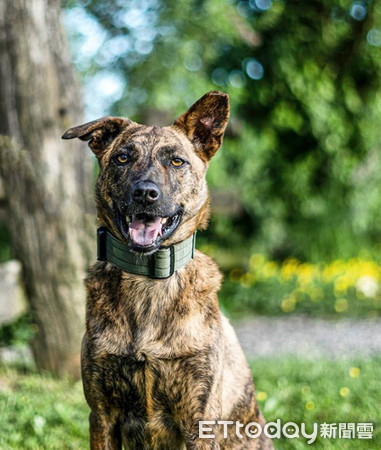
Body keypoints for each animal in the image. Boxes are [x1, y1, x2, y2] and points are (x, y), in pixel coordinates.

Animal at [62, 92, 272, 450]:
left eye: (176, 162)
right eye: (122, 158)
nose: (145, 193)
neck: (147, 277)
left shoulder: (200, 420)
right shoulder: (102, 415)